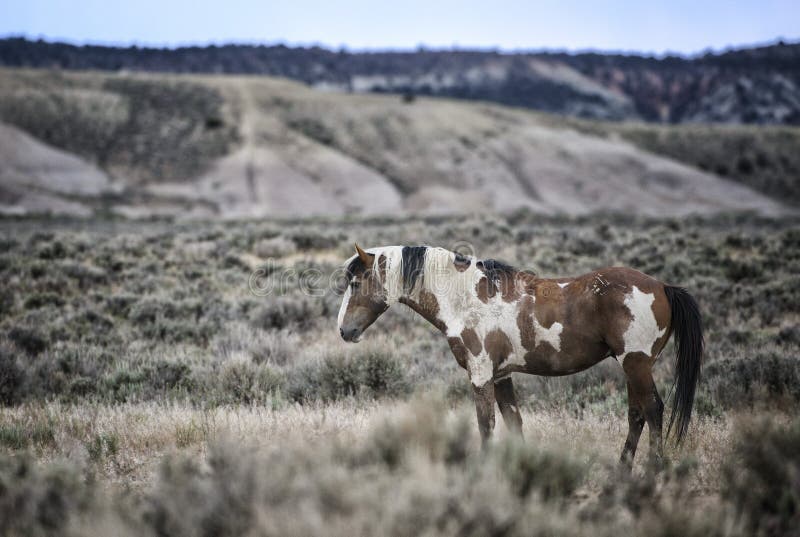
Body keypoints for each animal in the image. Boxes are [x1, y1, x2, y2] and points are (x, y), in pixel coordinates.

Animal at [336, 245, 700, 466]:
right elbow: (513, 422)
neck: (468, 298)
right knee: (636, 415)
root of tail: (663, 287)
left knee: (652, 410)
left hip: (636, 365)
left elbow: (486, 424)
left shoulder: (481, 374)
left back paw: (653, 471)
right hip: (632, 368)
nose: (344, 331)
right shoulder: (502, 375)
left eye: (355, 283)